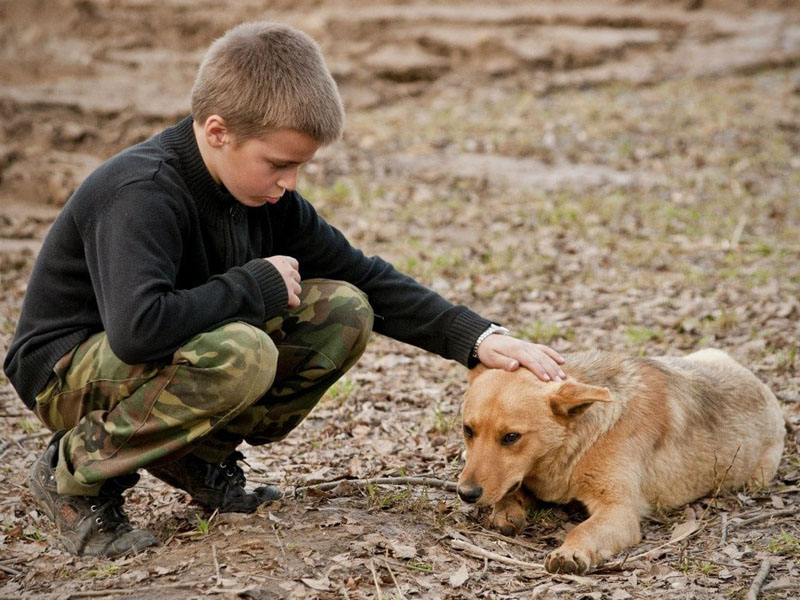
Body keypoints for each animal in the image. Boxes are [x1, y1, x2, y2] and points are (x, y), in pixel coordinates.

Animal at [460, 350, 784, 576]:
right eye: (468, 430)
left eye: (511, 437)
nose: (465, 494)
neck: (577, 443)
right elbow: (510, 493)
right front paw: (507, 510)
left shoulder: (619, 511)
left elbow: (583, 530)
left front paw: (570, 552)